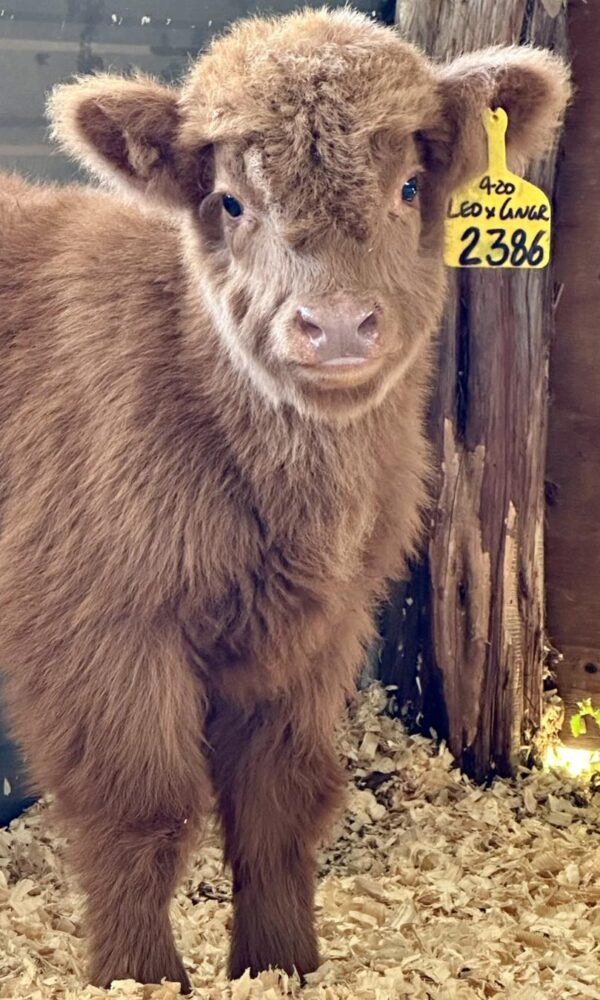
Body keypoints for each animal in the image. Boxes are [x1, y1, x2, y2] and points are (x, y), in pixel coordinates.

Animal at [0, 8, 570, 993]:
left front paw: (282, 965)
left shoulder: (315, 635)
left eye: (410, 186)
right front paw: (140, 976)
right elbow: (141, 810)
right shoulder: (97, 635)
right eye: (231, 202)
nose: (335, 325)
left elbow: (282, 801)